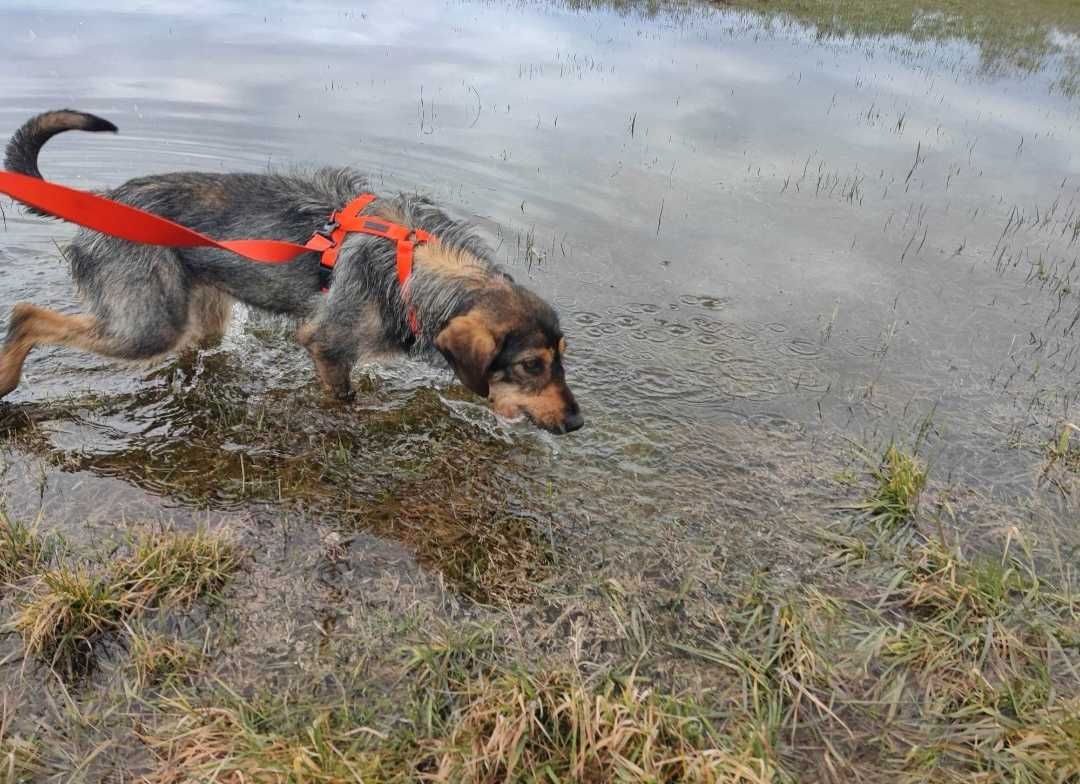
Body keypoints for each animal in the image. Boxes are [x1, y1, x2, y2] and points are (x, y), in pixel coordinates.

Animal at [0, 109, 583, 436]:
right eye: (530, 365)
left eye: (560, 357)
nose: (578, 423)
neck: (410, 264)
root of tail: (102, 200)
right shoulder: (327, 345)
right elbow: (343, 397)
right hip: (148, 324)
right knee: (26, 313)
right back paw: (7, 378)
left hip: (199, 311)